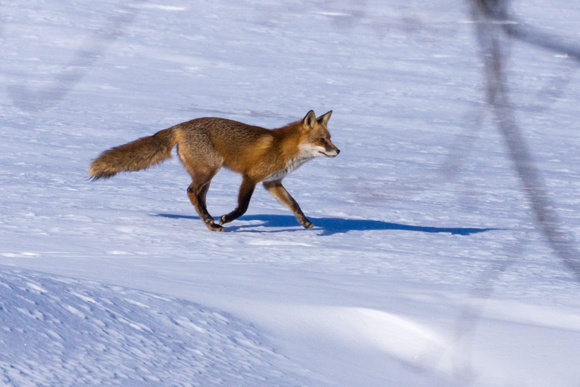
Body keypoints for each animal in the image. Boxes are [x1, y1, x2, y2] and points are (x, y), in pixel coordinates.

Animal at [88, 110, 338, 230]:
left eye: (330, 138)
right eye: (321, 140)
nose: (338, 151)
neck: (283, 148)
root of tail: (180, 126)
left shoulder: (272, 183)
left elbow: (294, 204)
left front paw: (305, 222)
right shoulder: (250, 177)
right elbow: (243, 207)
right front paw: (227, 217)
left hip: (207, 175)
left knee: (198, 198)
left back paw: (209, 223)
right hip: (210, 168)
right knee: (190, 192)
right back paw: (212, 222)